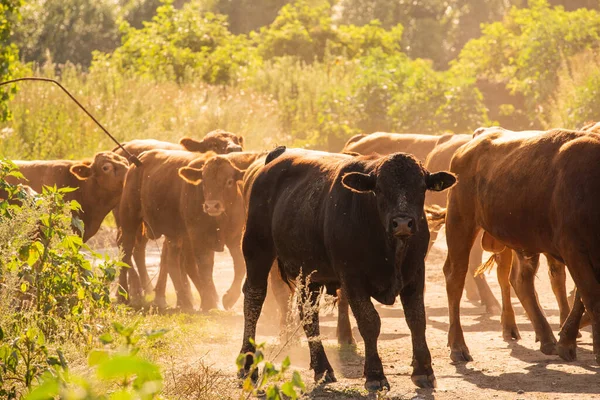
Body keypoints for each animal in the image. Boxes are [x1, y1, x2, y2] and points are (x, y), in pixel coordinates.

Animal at [239, 147, 454, 390]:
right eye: (379, 189)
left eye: (421, 187)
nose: (402, 223)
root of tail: (277, 157)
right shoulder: (352, 278)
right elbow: (370, 322)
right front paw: (375, 374)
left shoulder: (416, 274)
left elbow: (417, 319)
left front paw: (424, 371)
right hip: (256, 249)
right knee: (254, 300)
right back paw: (247, 366)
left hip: (310, 275)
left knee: (308, 314)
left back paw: (322, 368)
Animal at [442, 129, 600, 366]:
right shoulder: (574, 251)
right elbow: (591, 297)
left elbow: (580, 299)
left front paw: (566, 340)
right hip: (460, 222)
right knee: (455, 276)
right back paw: (458, 346)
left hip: (521, 240)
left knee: (519, 280)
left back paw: (546, 338)